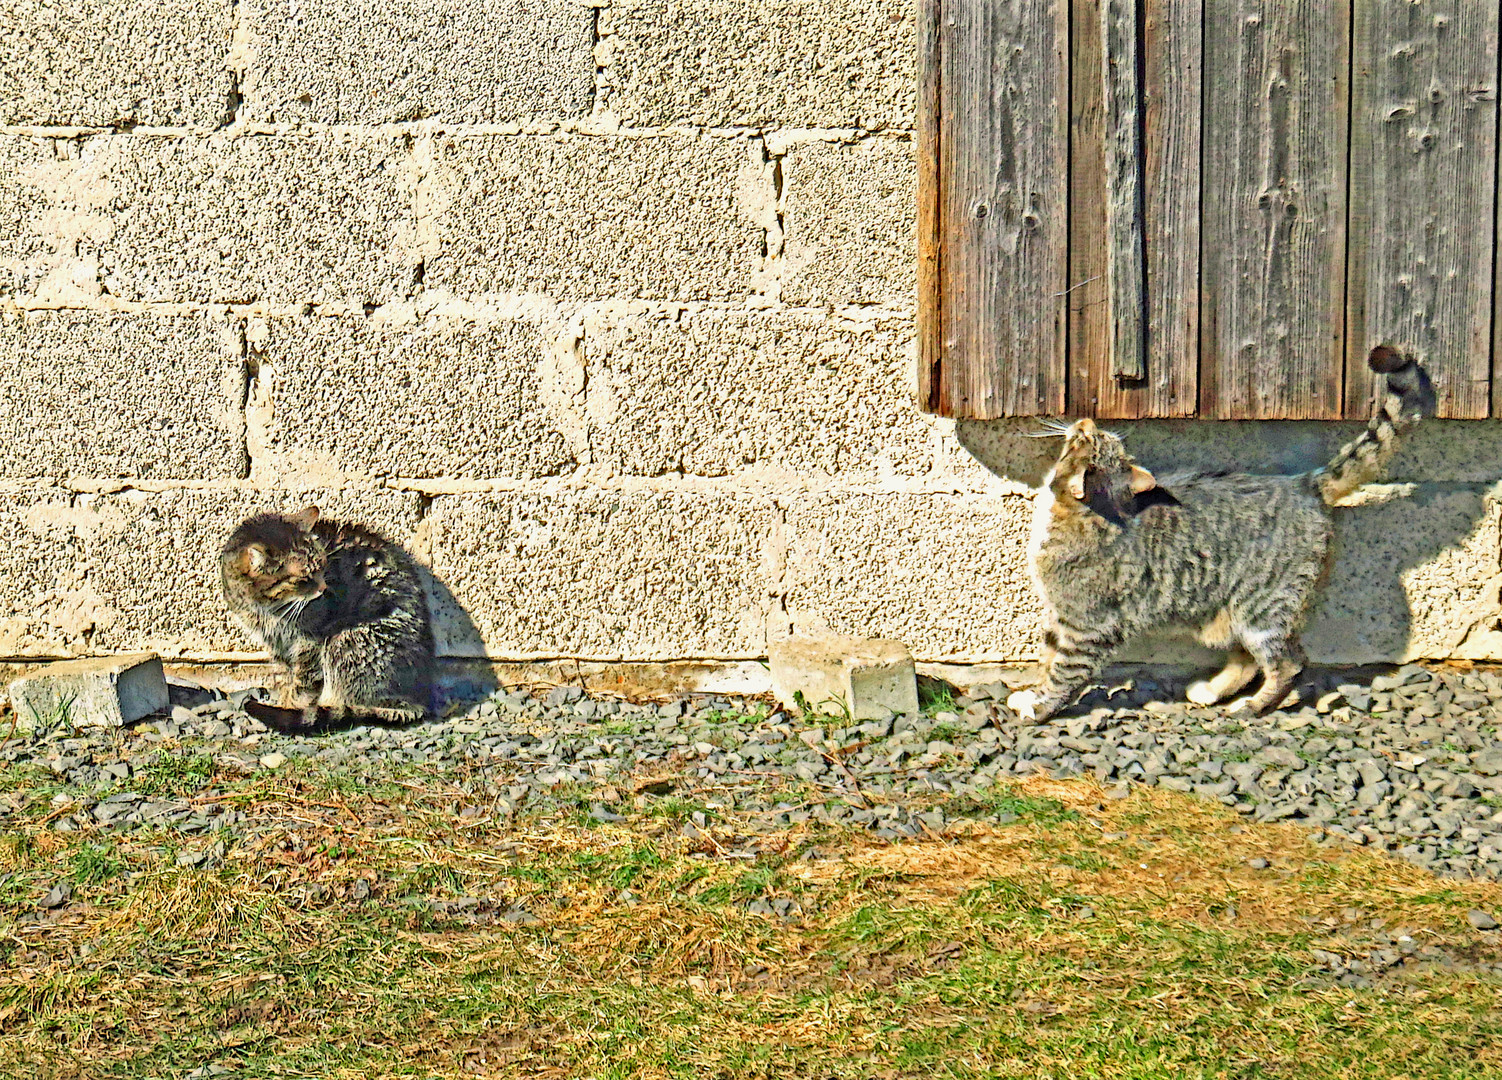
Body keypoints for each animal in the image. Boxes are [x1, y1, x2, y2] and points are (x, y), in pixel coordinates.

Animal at [220, 507, 435, 736]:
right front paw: (285, 697)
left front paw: (291, 705)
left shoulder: (309, 642)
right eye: (303, 579)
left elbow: (303, 683)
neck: (268, 609)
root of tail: (420, 698)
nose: (324, 588)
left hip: (344, 640)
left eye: (323, 565)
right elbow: (287, 674)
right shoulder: (275, 642)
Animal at [1009, 346, 1429, 721]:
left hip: (1263, 605)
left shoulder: (1088, 625)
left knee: (1287, 664)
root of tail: (1303, 483)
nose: (1085, 421)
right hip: (1236, 607)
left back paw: (1252, 707)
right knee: (1247, 659)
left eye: (1087, 440)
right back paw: (1212, 691)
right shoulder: (1058, 615)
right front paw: (1032, 692)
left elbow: (1065, 670)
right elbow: (1047, 658)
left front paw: (1040, 708)